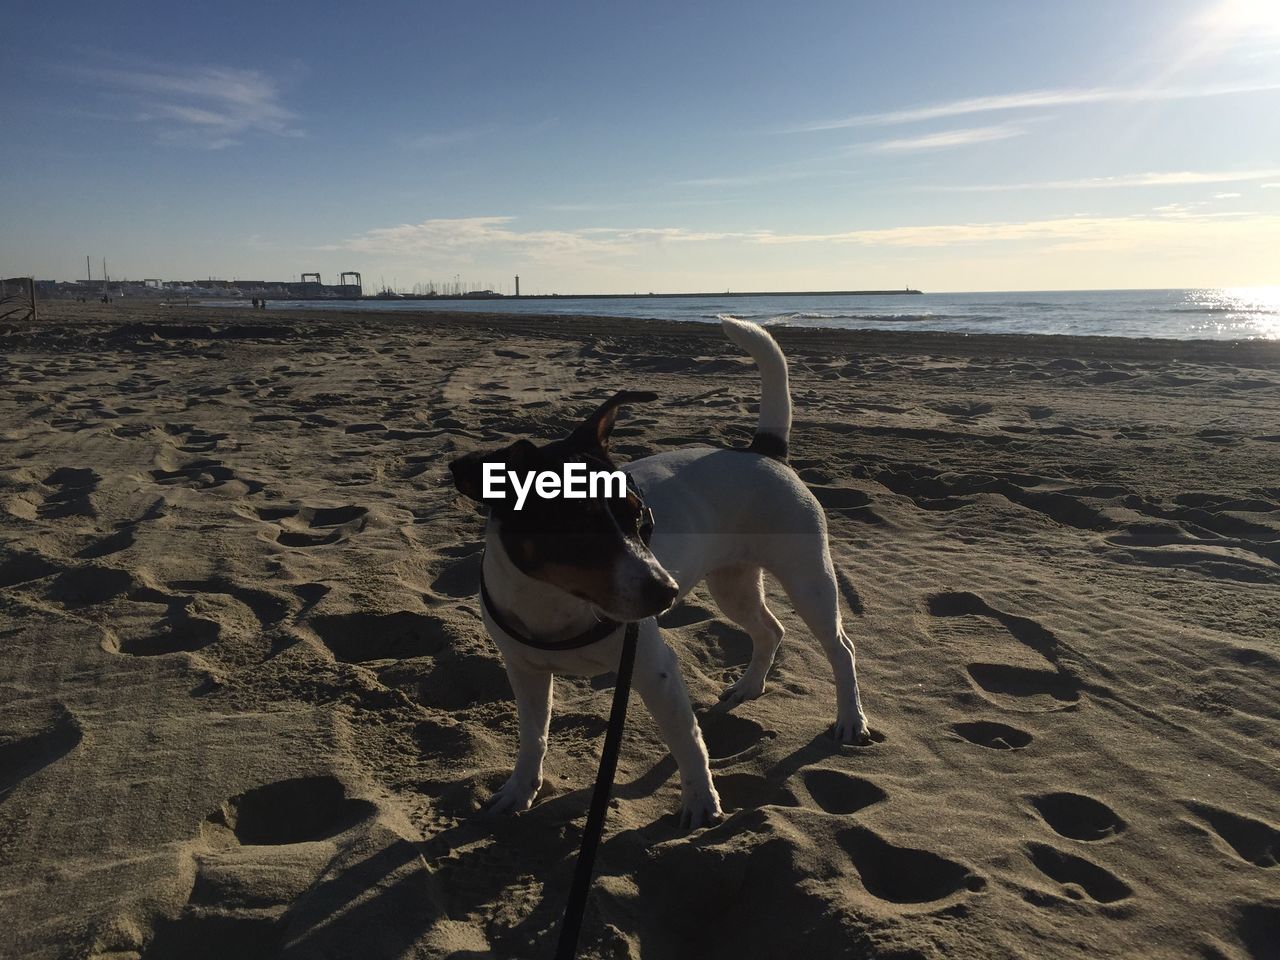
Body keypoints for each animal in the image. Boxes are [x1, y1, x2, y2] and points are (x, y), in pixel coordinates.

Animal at [448, 316, 870, 829]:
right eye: (576, 527)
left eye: (640, 516)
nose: (665, 593)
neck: (556, 603)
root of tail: (763, 451)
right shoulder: (524, 671)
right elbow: (534, 736)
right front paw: (518, 789)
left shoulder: (655, 669)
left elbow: (687, 740)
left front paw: (701, 802)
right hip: (732, 582)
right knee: (770, 629)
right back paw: (749, 686)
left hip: (808, 577)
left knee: (841, 648)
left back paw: (851, 719)